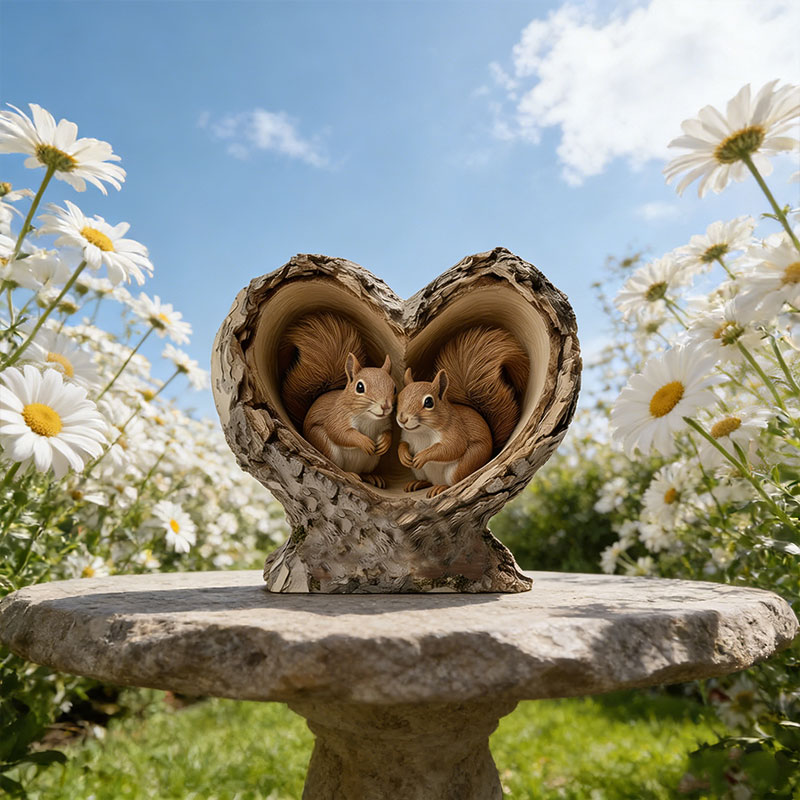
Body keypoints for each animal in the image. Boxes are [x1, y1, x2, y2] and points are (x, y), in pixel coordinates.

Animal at [279, 313, 396, 488]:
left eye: (394, 387)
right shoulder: (337, 417)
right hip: (325, 445)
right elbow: (341, 433)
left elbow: (389, 432)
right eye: (360, 387)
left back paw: (371, 477)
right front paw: (364, 442)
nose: (385, 406)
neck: (369, 418)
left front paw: (384, 443)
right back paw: (351, 475)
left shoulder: (385, 422)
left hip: (371, 460)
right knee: (337, 467)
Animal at [396, 326, 529, 497]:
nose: (402, 419)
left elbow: (451, 448)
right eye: (399, 396)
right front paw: (404, 455)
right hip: (421, 472)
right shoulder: (407, 435)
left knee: (454, 482)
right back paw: (418, 483)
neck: (421, 432)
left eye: (428, 402)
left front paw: (422, 456)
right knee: (427, 480)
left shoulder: (455, 430)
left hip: (463, 465)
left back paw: (441, 487)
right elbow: (402, 443)